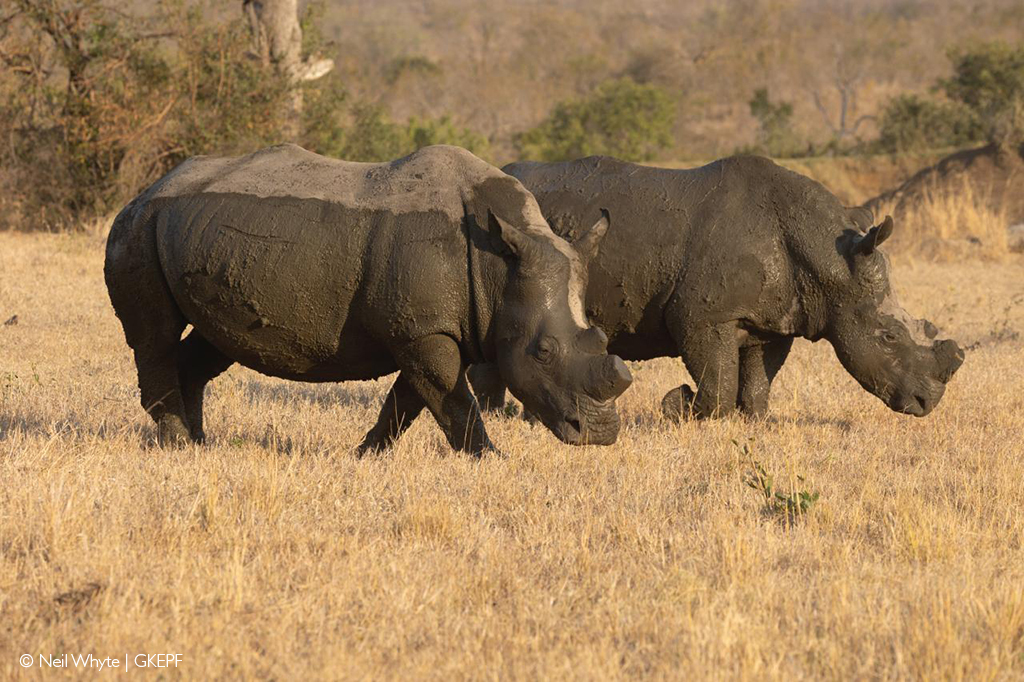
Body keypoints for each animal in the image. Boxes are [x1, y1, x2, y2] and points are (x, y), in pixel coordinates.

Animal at [103, 142, 630, 450]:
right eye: (543, 352)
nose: (600, 435)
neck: (498, 265)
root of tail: (148, 188)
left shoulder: (427, 329)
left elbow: (410, 401)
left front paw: (366, 454)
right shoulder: (421, 331)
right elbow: (452, 400)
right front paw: (490, 459)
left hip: (194, 232)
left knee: (214, 339)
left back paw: (199, 445)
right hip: (139, 226)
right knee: (154, 335)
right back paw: (176, 446)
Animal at [468, 155, 962, 417]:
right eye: (888, 336)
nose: (927, 403)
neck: (828, 261)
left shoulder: (775, 320)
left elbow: (757, 383)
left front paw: (752, 421)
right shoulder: (703, 316)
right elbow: (718, 383)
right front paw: (678, 406)